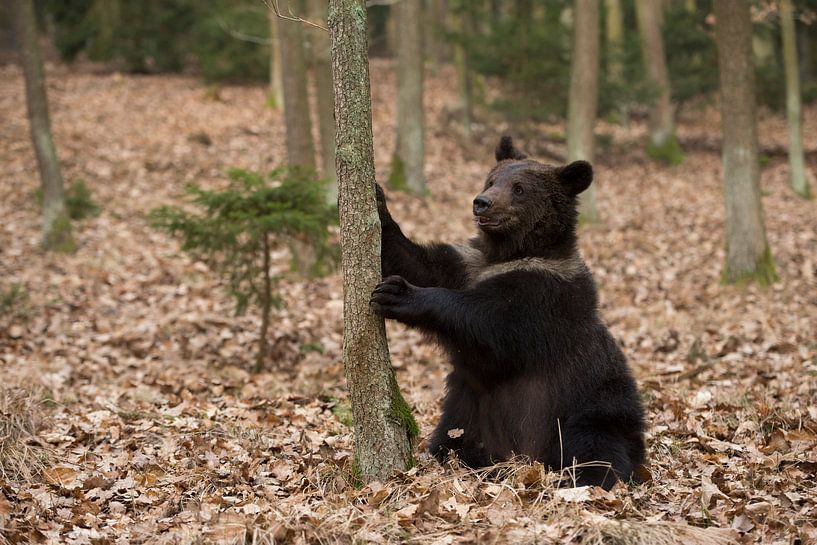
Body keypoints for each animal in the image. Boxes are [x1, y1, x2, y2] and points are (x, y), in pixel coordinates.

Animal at [370, 136, 646, 490]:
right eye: (491, 180)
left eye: (519, 188)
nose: (481, 203)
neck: (508, 254)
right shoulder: (467, 265)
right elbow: (418, 262)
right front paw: (379, 201)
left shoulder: (544, 296)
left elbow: (490, 322)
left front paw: (399, 293)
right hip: (469, 413)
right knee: (451, 439)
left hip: (588, 405)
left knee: (597, 447)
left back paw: (587, 478)